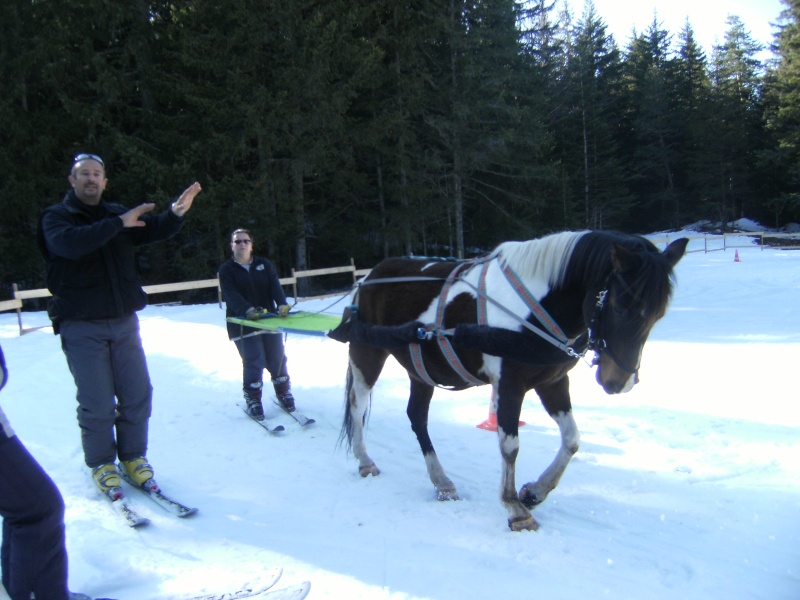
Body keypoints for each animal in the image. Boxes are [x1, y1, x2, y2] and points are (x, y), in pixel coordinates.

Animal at [334, 230, 684, 528]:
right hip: (367, 353)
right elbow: (510, 445)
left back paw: (442, 482)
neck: (537, 308)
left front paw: (535, 492)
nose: (619, 382)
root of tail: (368, 277)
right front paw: (515, 508)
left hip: (421, 370)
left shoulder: (553, 382)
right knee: (357, 406)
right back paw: (365, 461)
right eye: (620, 306)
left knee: (417, 417)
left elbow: (571, 439)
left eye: (658, 314)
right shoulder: (509, 385)